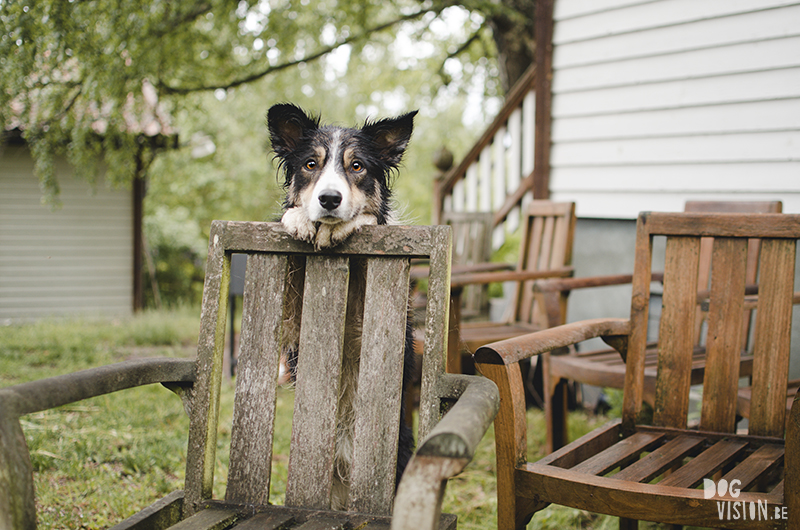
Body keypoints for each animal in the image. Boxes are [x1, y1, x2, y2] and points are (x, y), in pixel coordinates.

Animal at [268, 102, 418, 508]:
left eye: (357, 166)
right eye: (310, 164)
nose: (329, 200)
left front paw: (347, 223)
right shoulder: (293, 322)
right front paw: (299, 219)